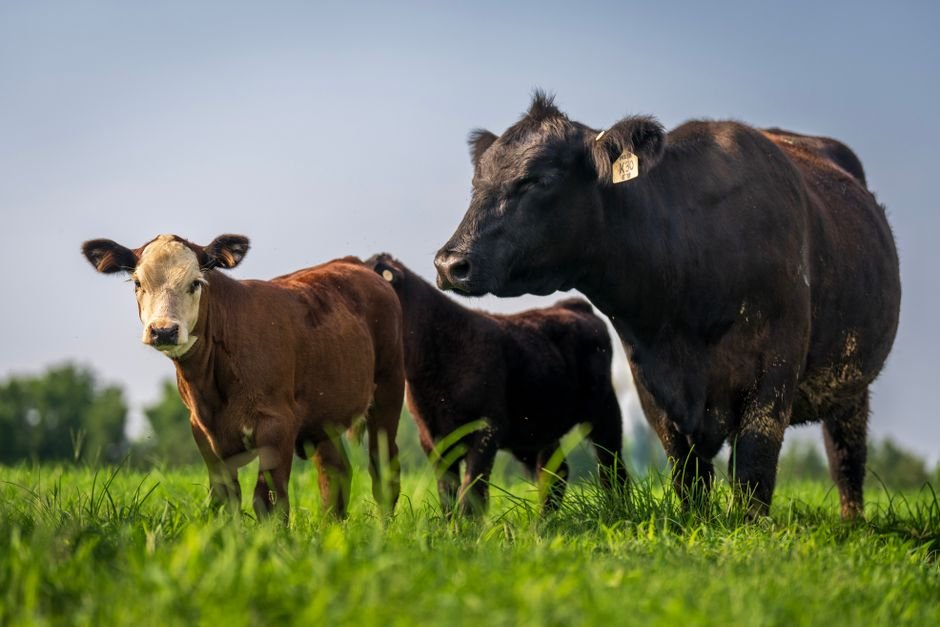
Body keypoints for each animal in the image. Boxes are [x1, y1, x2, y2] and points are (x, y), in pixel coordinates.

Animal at [81, 234, 405, 521]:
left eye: (195, 283)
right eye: (138, 283)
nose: (163, 330)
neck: (210, 385)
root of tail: (354, 263)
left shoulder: (277, 426)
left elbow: (269, 501)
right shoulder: (203, 431)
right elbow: (227, 497)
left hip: (388, 392)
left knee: (384, 470)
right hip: (323, 417)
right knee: (334, 473)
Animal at [366, 253, 626, 516]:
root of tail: (572, 305)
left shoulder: (487, 428)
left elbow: (471, 489)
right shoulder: (433, 437)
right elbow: (447, 493)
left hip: (605, 411)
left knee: (611, 466)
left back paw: (617, 509)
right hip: (537, 429)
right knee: (555, 474)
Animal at [434, 92, 901, 519]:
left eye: (538, 179)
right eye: (477, 182)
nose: (450, 263)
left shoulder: (776, 368)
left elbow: (754, 464)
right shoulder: (651, 379)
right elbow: (686, 471)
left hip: (852, 381)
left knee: (846, 456)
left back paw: (852, 524)